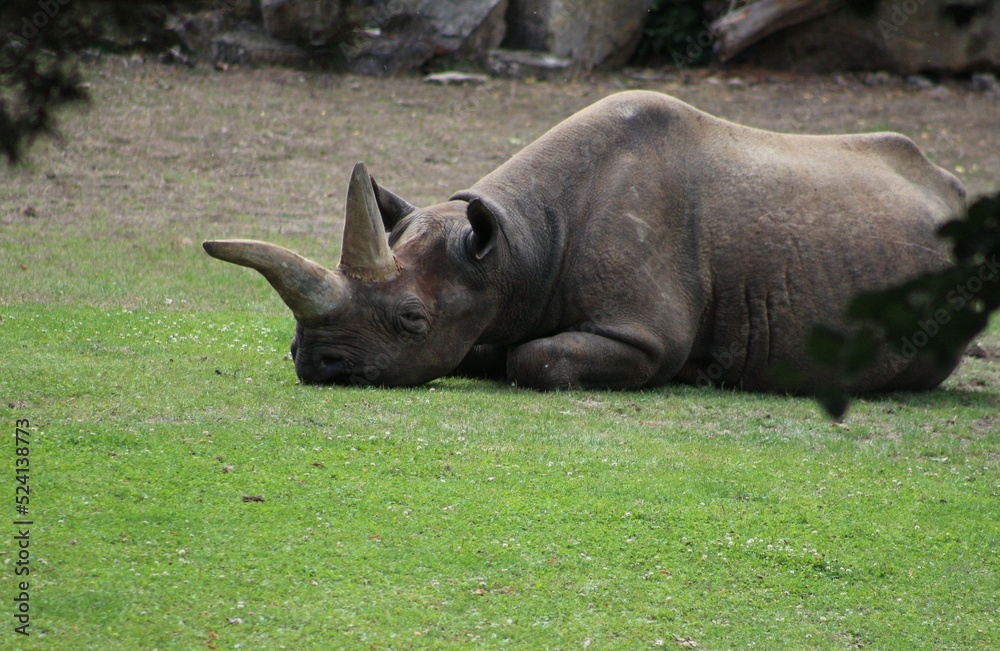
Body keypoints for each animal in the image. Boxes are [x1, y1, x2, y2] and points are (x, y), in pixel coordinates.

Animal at [204, 90, 966, 393]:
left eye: (411, 320)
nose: (315, 362)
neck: (513, 251)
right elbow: (492, 347)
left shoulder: (644, 333)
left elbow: (536, 359)